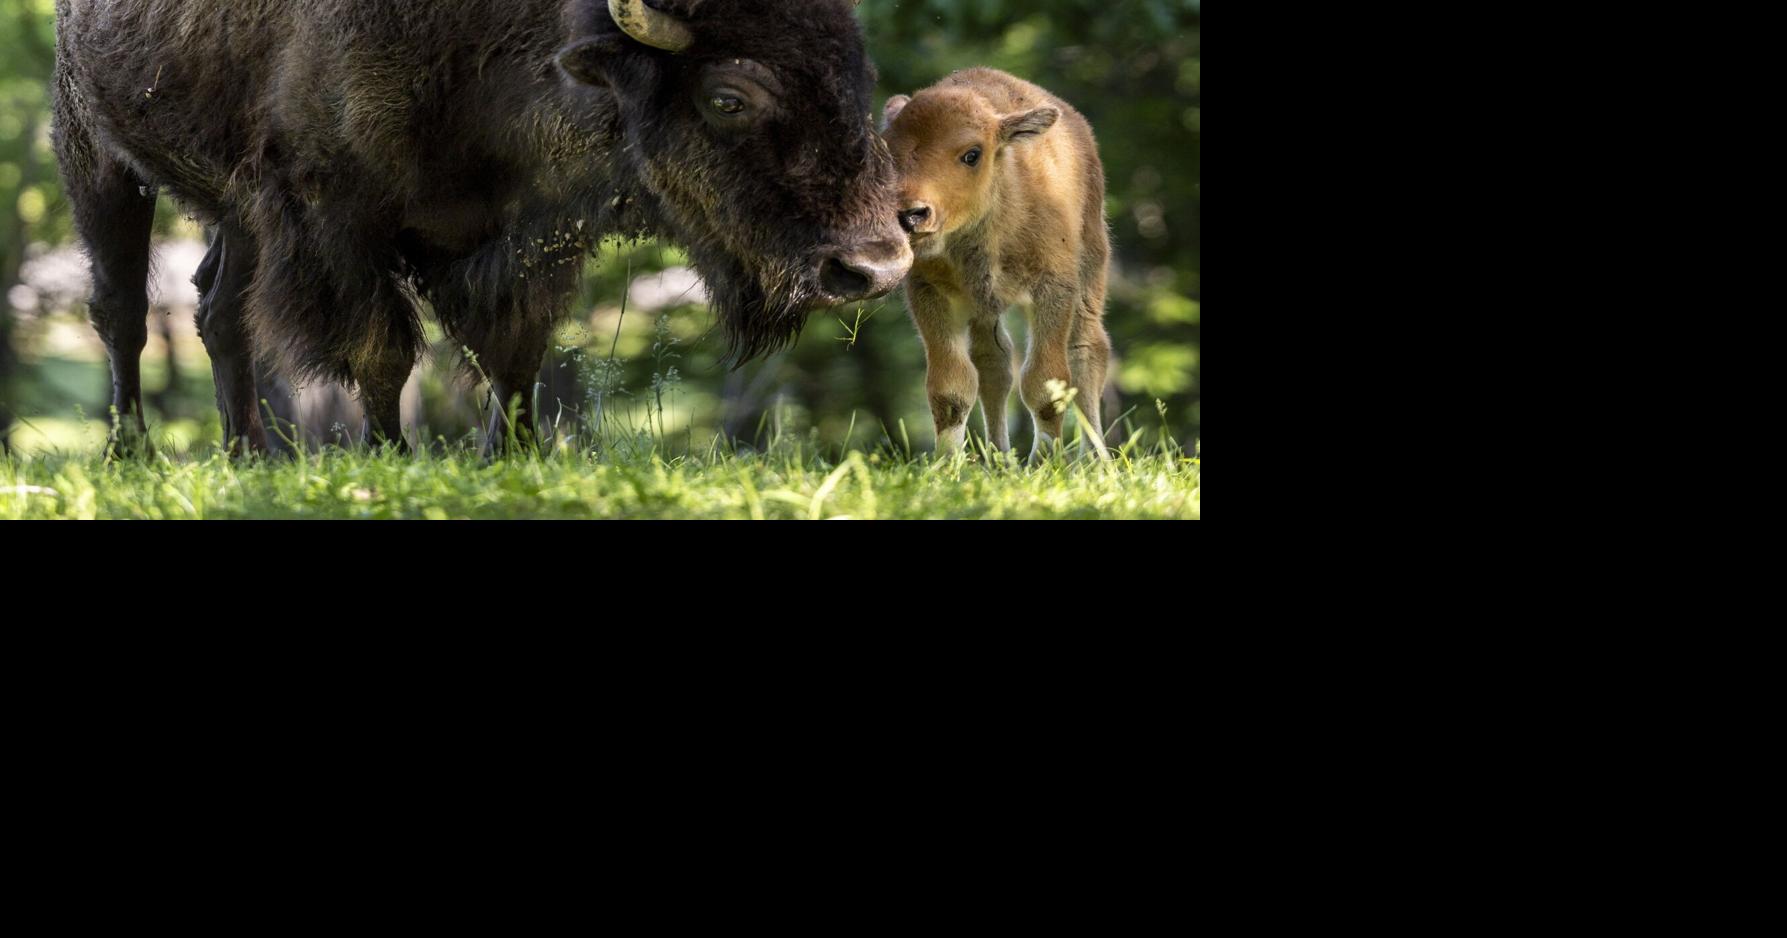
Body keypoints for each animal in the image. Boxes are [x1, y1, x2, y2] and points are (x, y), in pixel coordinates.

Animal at [53, 0, 913, 453]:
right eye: (728, 96)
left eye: (856, 78)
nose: (871, 267)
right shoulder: (337, 220)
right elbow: (384, 353)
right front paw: (390, 457)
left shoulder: (530, 241)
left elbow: (514, 355)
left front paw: (514, 457)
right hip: (94, 154)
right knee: (121, 308)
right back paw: (132, 454)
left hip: (234, 210)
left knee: (216, 311)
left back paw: (249, 458)